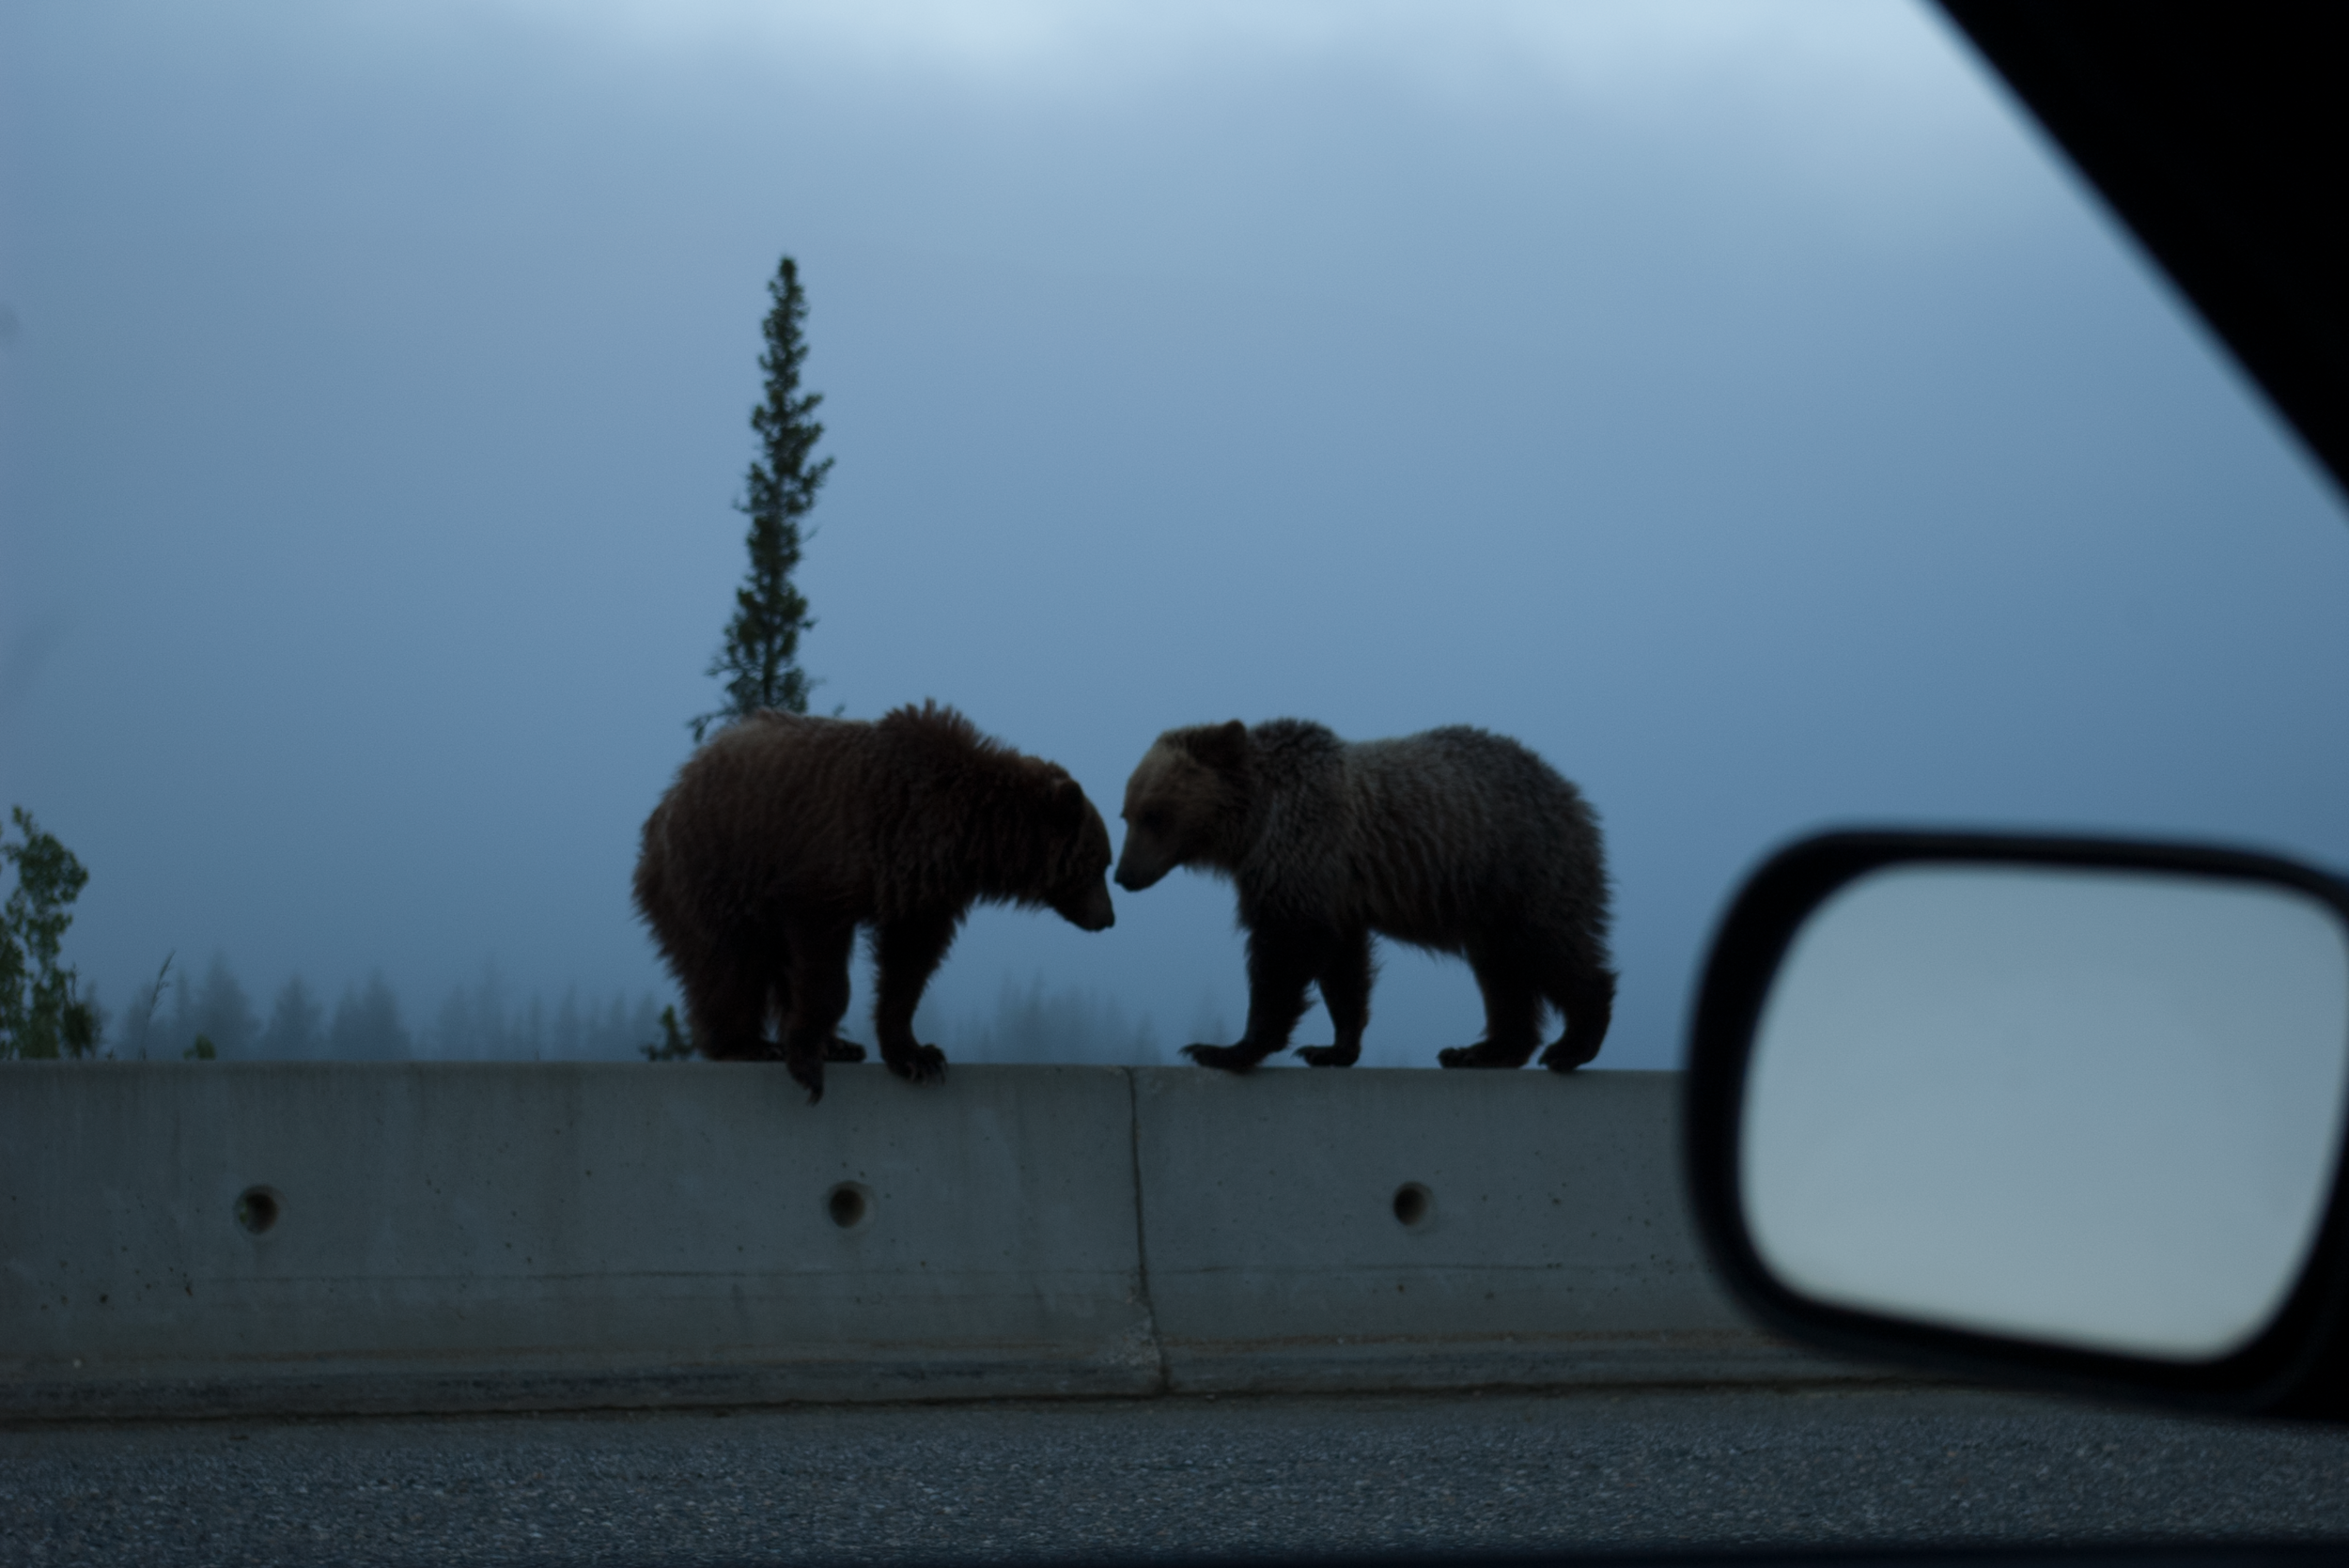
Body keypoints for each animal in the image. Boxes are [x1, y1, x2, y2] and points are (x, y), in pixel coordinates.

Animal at [632, 701, 1117, 1103]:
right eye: (1100, 864)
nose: (1109, 918)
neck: (959, 837)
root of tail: (667, 799)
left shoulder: (920, 891)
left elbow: (908, 966)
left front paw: (918, 1056)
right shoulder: (835, 862)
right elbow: (823, 961)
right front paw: (807, 1064)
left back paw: (837, 1044)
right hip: (717, 869)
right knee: (729, 961)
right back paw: (747, 1044)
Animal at [1115, 718, 1613, 1073]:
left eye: (1154, 814)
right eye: (1127, 815)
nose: (1123, 875)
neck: (1251, 827)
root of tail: (1571, 793)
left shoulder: (1302, 854)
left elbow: (1284, 951)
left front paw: (1223, 1048)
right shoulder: (1333, 890)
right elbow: (1343, 966)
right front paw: (1332, 1048)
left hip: (1519, 869)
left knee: (1551, 948)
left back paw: (1571, 1045)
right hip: (1488, 901)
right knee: (1501, 972)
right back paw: (1482, 1051)